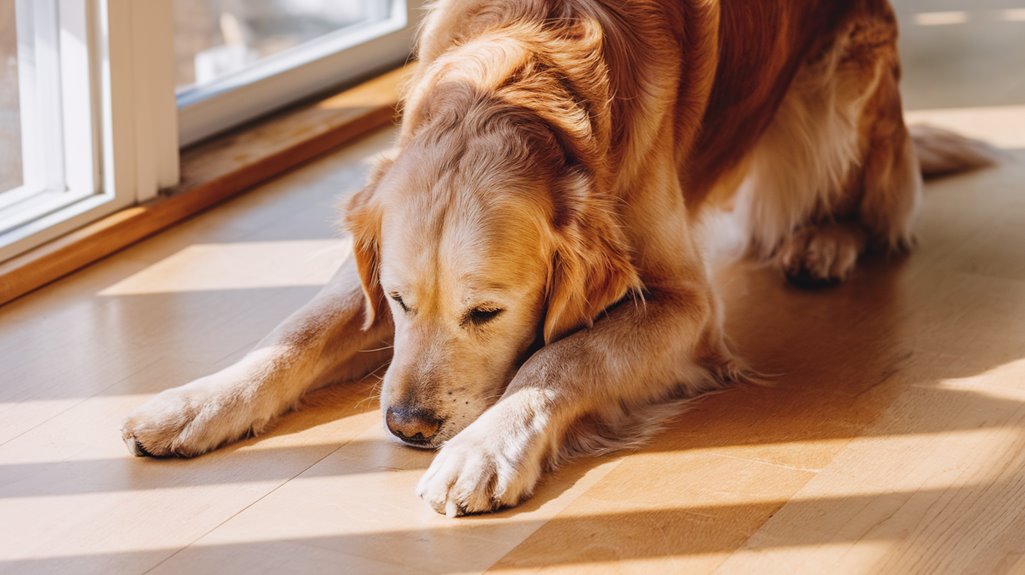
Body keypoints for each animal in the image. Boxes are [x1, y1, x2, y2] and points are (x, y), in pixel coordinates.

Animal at [119, 0, 992, 516]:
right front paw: (194, 401)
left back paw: (823, 239)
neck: (520, 72)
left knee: (879, 205)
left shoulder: (684, 304)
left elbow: (562, 359)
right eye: (397, 301)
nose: (405, 425)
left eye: (487, 311)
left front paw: (481, 449)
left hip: (838, 81)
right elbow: (297, 328)